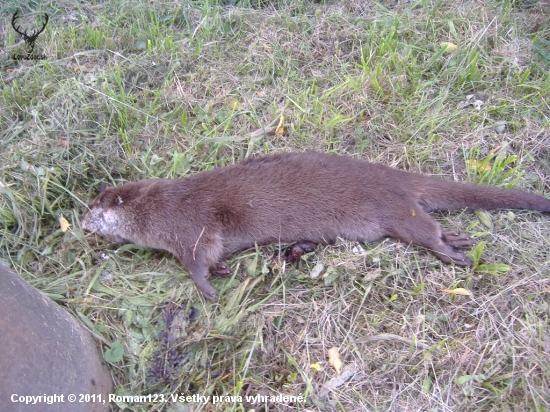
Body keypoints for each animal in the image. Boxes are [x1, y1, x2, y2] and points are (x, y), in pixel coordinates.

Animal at [82, 153, 550, 300]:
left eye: (92, 207)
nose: (82, 223)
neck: (159, 209)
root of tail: (395, 177)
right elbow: (211, 257)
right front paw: (221, 270)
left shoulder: (188, 226)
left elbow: (195, 261)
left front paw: (208, 290)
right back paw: (459, 238)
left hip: (395, 212)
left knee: (425, 234)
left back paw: (454, 256)